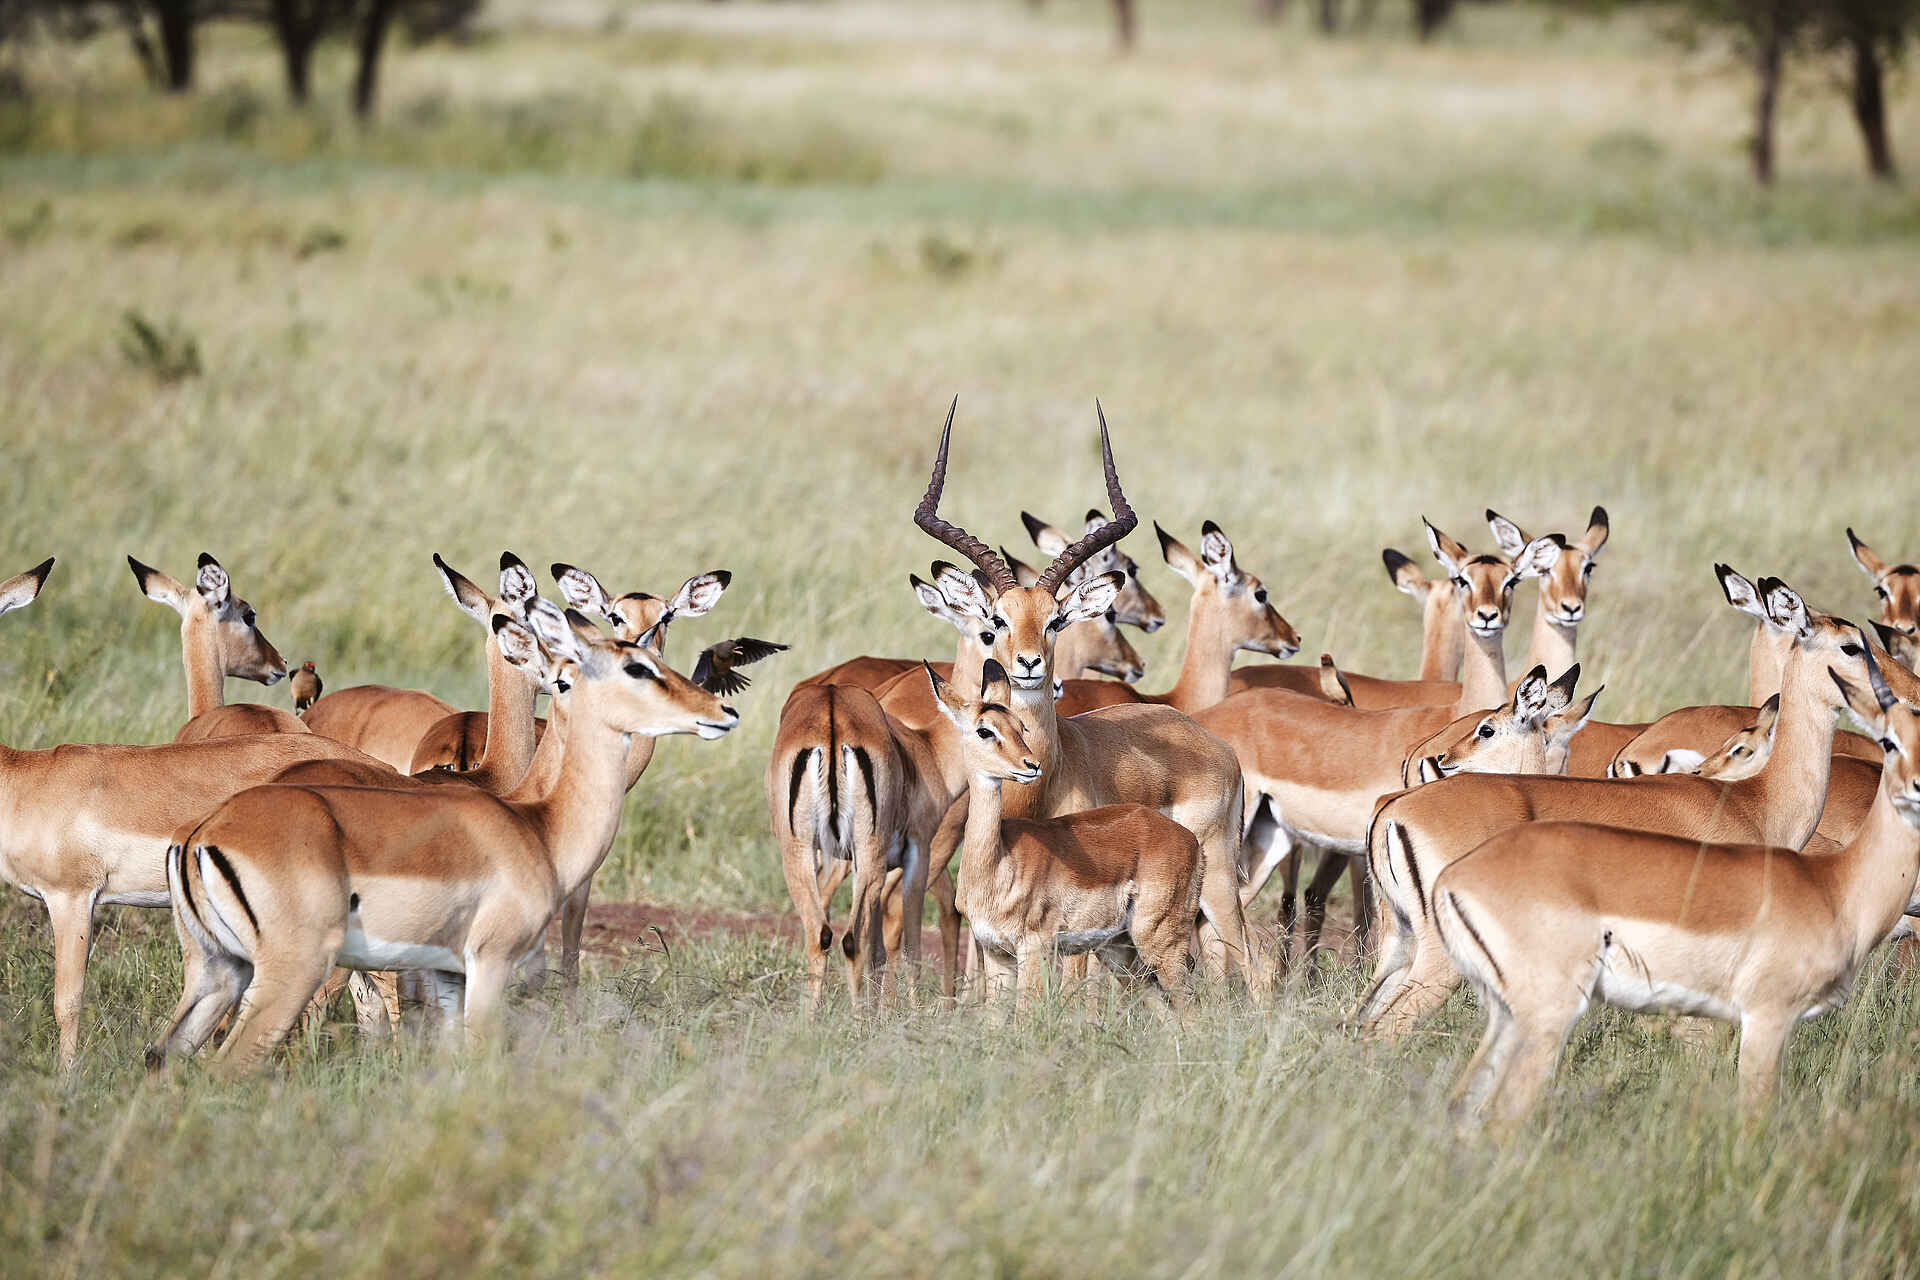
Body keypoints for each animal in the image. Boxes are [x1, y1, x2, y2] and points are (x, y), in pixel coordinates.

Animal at [147, 601, 739, 1071]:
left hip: (220, 969)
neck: (535, 822)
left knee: (164, 1055)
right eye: (635, 666)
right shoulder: (490, 963)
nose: (721, 709)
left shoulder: (447, 974)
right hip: (295, 970)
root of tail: (202, 833)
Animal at [930, 660, 1199, 1014]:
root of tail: (1189, 839)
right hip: (1123, 954)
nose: (1031, 765)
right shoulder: (996, 954)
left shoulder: (1033, 949)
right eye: (984, 730)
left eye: (1021, 727)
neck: (997, 863)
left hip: (1158, 942)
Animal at [1359, 577, 1889, 1039]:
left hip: (1400, 945)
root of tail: (1393, 809)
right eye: (1851, 646)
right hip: (1439, 960)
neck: (1756, 802)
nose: (1888, 693)